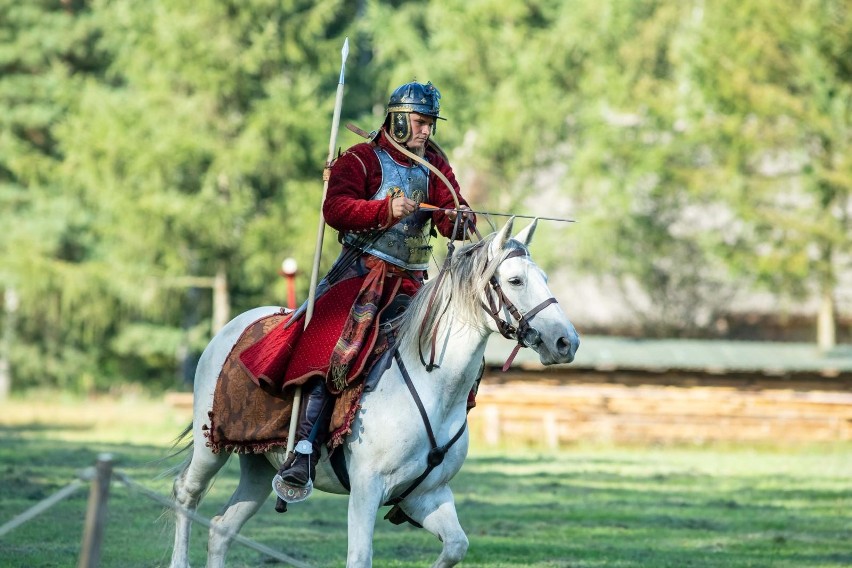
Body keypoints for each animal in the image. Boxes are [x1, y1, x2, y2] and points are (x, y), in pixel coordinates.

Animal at [168, 215, 580, 564]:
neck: (432, 387)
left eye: (543, 277)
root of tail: (231, 329)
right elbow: (360, 557)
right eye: (515, 281)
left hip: (257, 465)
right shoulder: (366, 490)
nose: (566, 342)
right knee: (186, 495)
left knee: (221, 529)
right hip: (211, 448)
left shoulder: (426, 495)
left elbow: (456, 546)